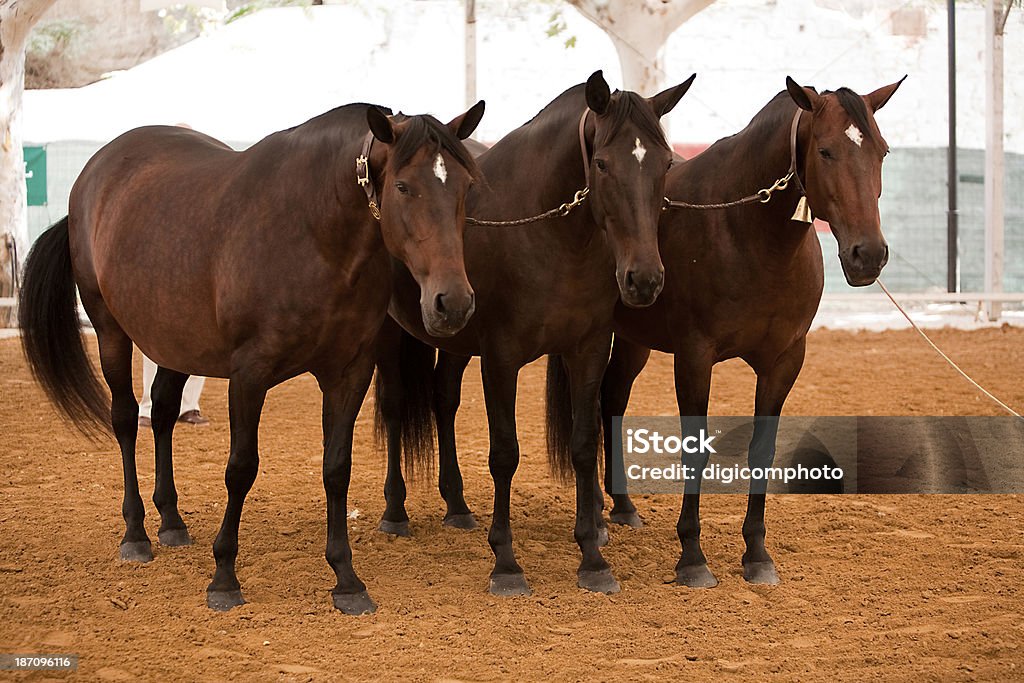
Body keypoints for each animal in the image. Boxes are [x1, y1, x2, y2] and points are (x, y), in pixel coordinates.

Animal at [18, 100, 485, 614]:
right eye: (403, 186)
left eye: (466, 186)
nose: (453, 303)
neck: (313, 235)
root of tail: (93, 174)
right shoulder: (249, 375)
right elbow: (240, 468)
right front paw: (224, 576)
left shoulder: (349, 373)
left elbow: (336, 468)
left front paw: (346, 578)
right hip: (110, 330)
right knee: (124, 419)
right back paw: (136, 533)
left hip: (175, 343)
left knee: (161, 413)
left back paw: (171, 521)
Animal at [372, 70, 692, 598]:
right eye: (602, 164)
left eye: (666, 163)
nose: (644, 278)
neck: (543, 236)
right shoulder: (501, 359)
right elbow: (505, 453)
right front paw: (506, 562)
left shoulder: (587, 350)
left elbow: (584, 444)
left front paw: (592, 557)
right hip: (392, 335)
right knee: (397, 407)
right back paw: (395, 511)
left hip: (455, 338)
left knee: (443, 399)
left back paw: (457, 506)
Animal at [598, 74, 905, 589]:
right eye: (825, 151)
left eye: (881, 151)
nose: (868, 254)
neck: (744, 232)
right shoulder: (694, 357)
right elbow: (695, 451)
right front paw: (692, 556)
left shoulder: (784, 361)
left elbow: (762, 451)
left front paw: (757, 554)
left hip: (634, 341)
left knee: (612, 399)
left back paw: (622, 507)